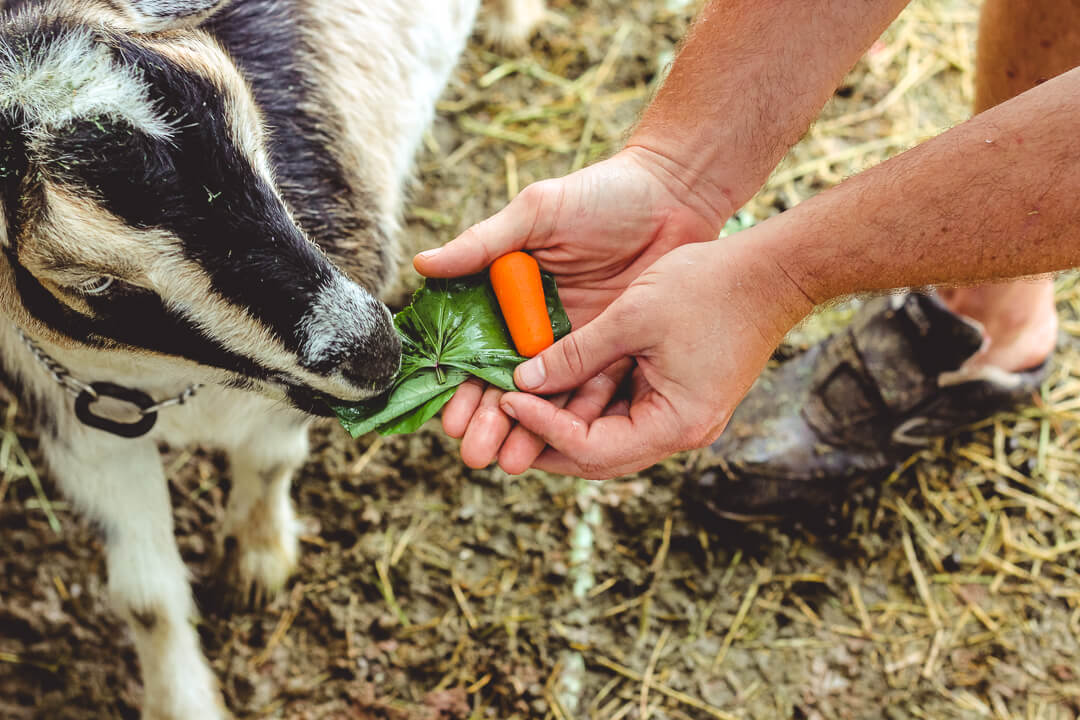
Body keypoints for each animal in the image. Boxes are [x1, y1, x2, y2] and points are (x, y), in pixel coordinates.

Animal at [0, 1, 540, 716]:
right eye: (99, 285)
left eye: (253, 142)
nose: (374, 350)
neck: (176, 380)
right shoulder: (75, 415)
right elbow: (146, 597)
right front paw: (183, 699)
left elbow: (269, 458)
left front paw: (256, 562)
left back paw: (513, 23)